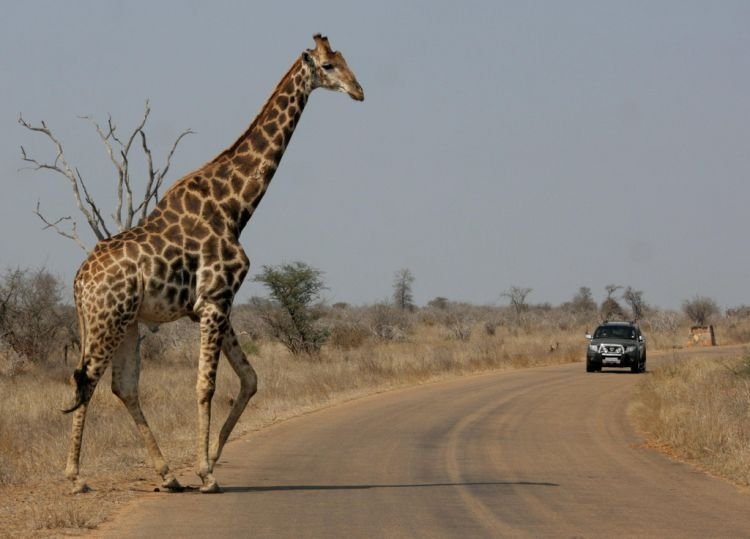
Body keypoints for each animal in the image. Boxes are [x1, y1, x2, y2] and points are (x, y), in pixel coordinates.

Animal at [64, 33, 364, 496]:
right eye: (329, 66)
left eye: (344, 59)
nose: (358, 90)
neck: (235, 207)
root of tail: (78, 282)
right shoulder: (215, 300)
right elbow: (206, 385)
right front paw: (207, 472)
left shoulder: (211, 304)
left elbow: (250, 378)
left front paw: (213, 458)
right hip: (106, 319)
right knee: (87, 379)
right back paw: (76, 477)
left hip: (125, 321)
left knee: (122, 386)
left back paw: (168, 475)